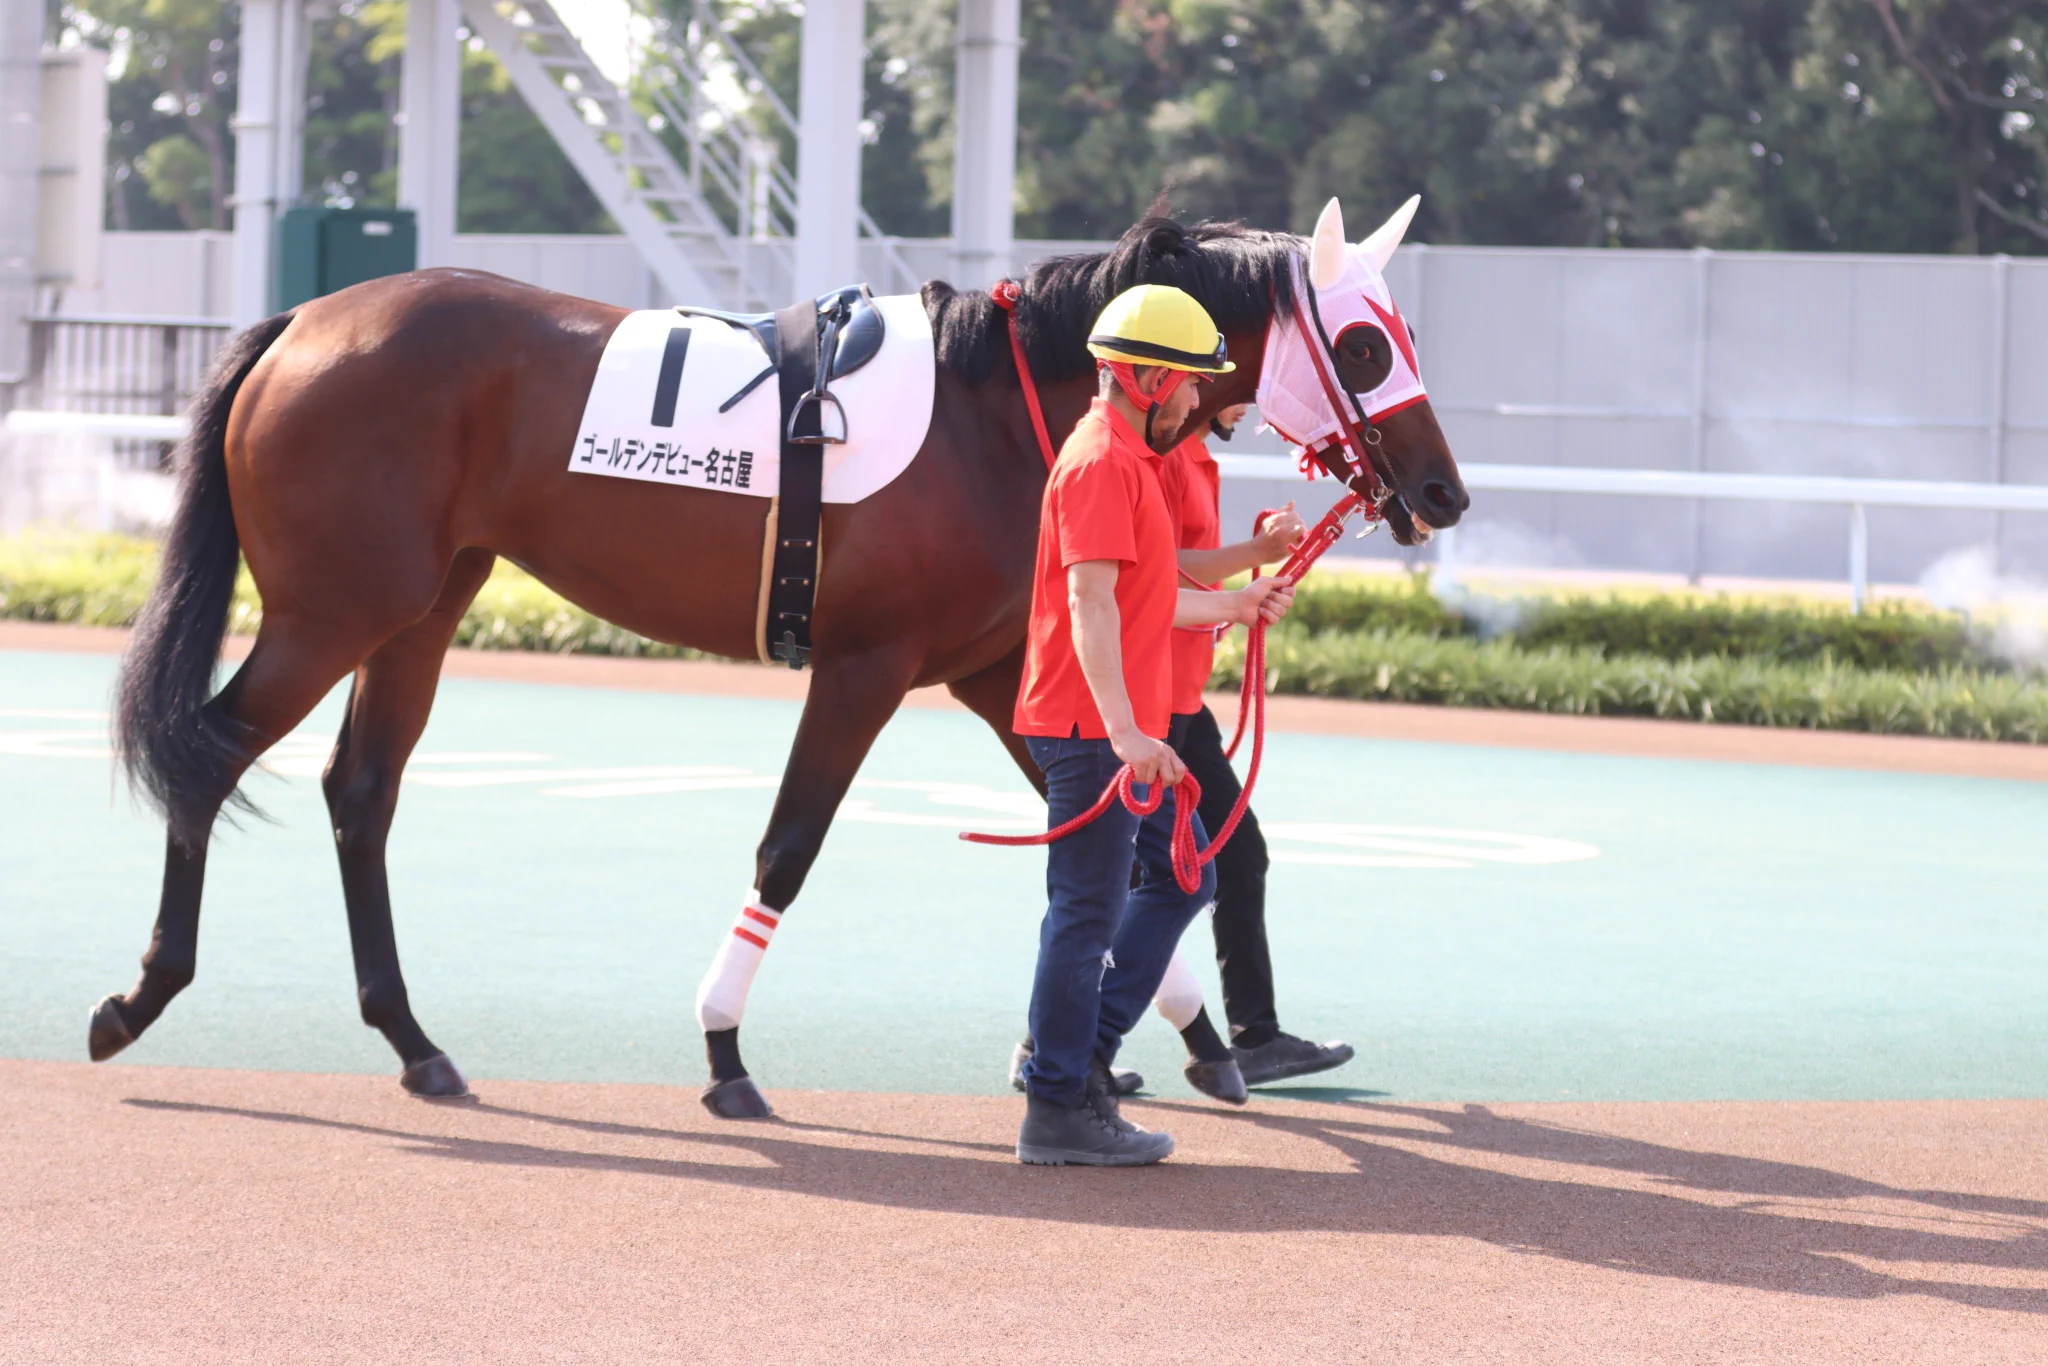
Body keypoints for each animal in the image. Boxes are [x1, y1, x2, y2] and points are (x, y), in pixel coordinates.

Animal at [93, 196, 1468, 1117]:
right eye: (1364, 345)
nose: (1441, 492)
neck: (998, 404)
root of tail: (299, 323)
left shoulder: (994, 673)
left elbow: (1119, 838)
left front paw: (1183, 1037)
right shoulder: (866, 666)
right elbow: (789, 848)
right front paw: (723, 1049)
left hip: (422, 607)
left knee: (359, 791)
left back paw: (412, 1039)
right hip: (331, 609)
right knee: (211, 754)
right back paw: (138, 999)